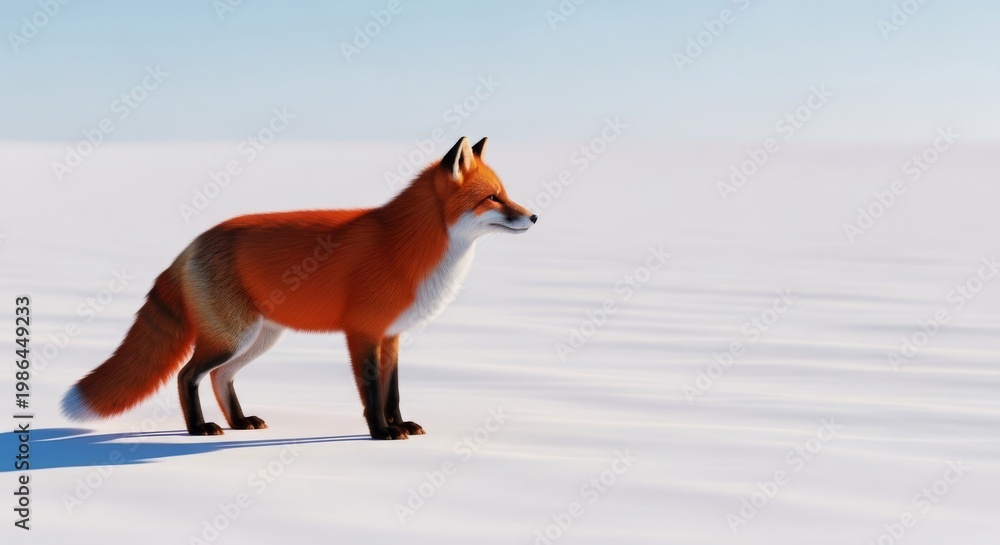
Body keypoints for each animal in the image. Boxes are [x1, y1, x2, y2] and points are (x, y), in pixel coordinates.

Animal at [61, 136, 537, 439]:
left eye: (506, 193)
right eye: (493, 198)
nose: (534, 217)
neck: (408, 246)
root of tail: (192, 244)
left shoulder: (391, 336)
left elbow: (394, 391)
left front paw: (400, 424)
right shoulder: (362, 332)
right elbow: (372, 393)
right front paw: (381, 433)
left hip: (258, 339)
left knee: (219, 377)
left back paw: (239, 424)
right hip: (232, 337)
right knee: (187, 375)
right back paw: (198, 428)